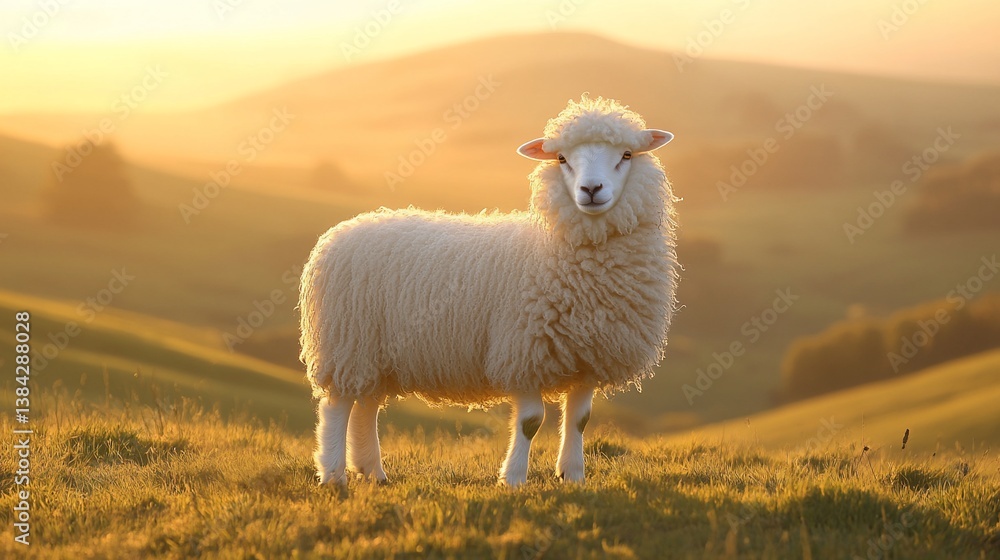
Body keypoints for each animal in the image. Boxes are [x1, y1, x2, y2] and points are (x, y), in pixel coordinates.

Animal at [299, 95, 678, 487]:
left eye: (627, 155)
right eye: (561, 159)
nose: (591, 190)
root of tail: (341, 231)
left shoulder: (588, 355)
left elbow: (579, 420)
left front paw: (572, 476)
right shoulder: (522, 350)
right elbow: (530, 422)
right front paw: (513, 478)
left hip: (375, 353)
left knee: (367, 406)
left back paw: (373, 471)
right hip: (346, 344)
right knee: (337, 407)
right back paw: (333, 474)